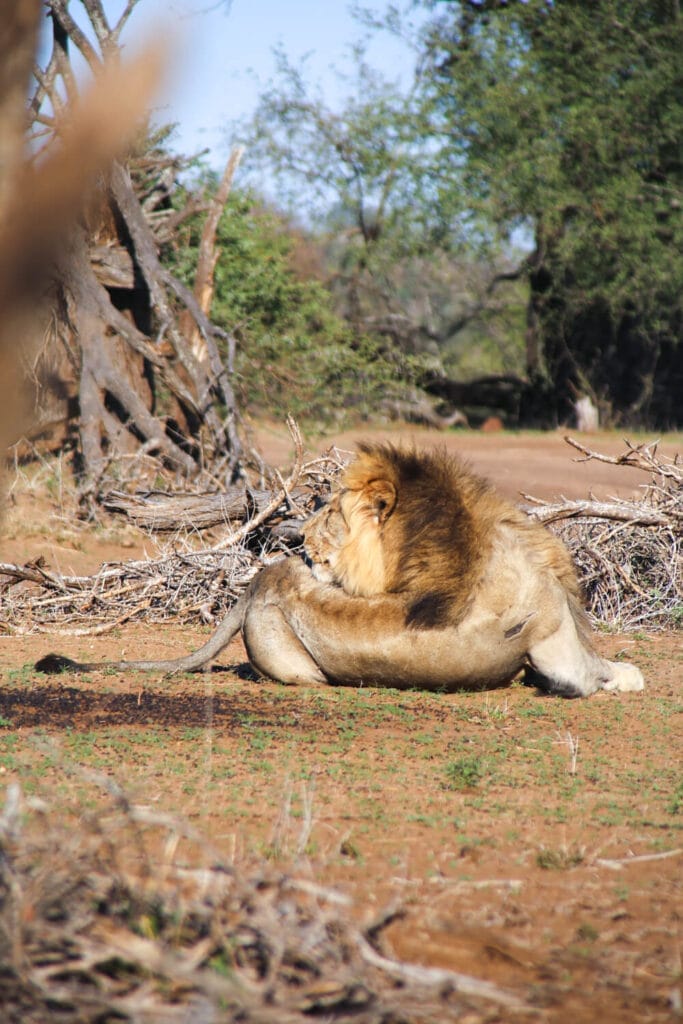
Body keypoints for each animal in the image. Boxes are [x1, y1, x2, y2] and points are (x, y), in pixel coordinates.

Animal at [36, 442, 645, 698]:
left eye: (328, 511)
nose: (300, 538)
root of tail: (260, 582)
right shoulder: (555, 647)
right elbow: (599, 673)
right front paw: (628, 677)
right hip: (303, 669)